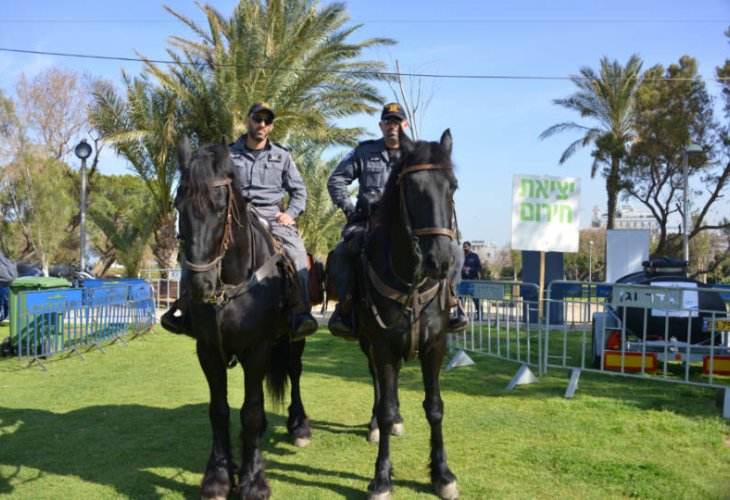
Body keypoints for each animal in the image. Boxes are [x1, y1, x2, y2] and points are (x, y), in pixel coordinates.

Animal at [173, 138, 310, 500]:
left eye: (221, 207)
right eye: (178, 206)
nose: (200, 285)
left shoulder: (257, 349)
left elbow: (250, 411)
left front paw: (252, 480)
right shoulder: (207, 350)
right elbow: (219, 411)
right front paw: (219, 477)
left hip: (295, 339)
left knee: (294, 373)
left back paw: (299, 425)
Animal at [352, 130, 456, 500]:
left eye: (453, 186)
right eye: (412, 188)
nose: (441, 260)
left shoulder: (435, 346)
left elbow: (436, 408)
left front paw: (442, 473)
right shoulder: (382, 345)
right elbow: (384, 407)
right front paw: (382, 477)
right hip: (368, 343)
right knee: (379, 385)